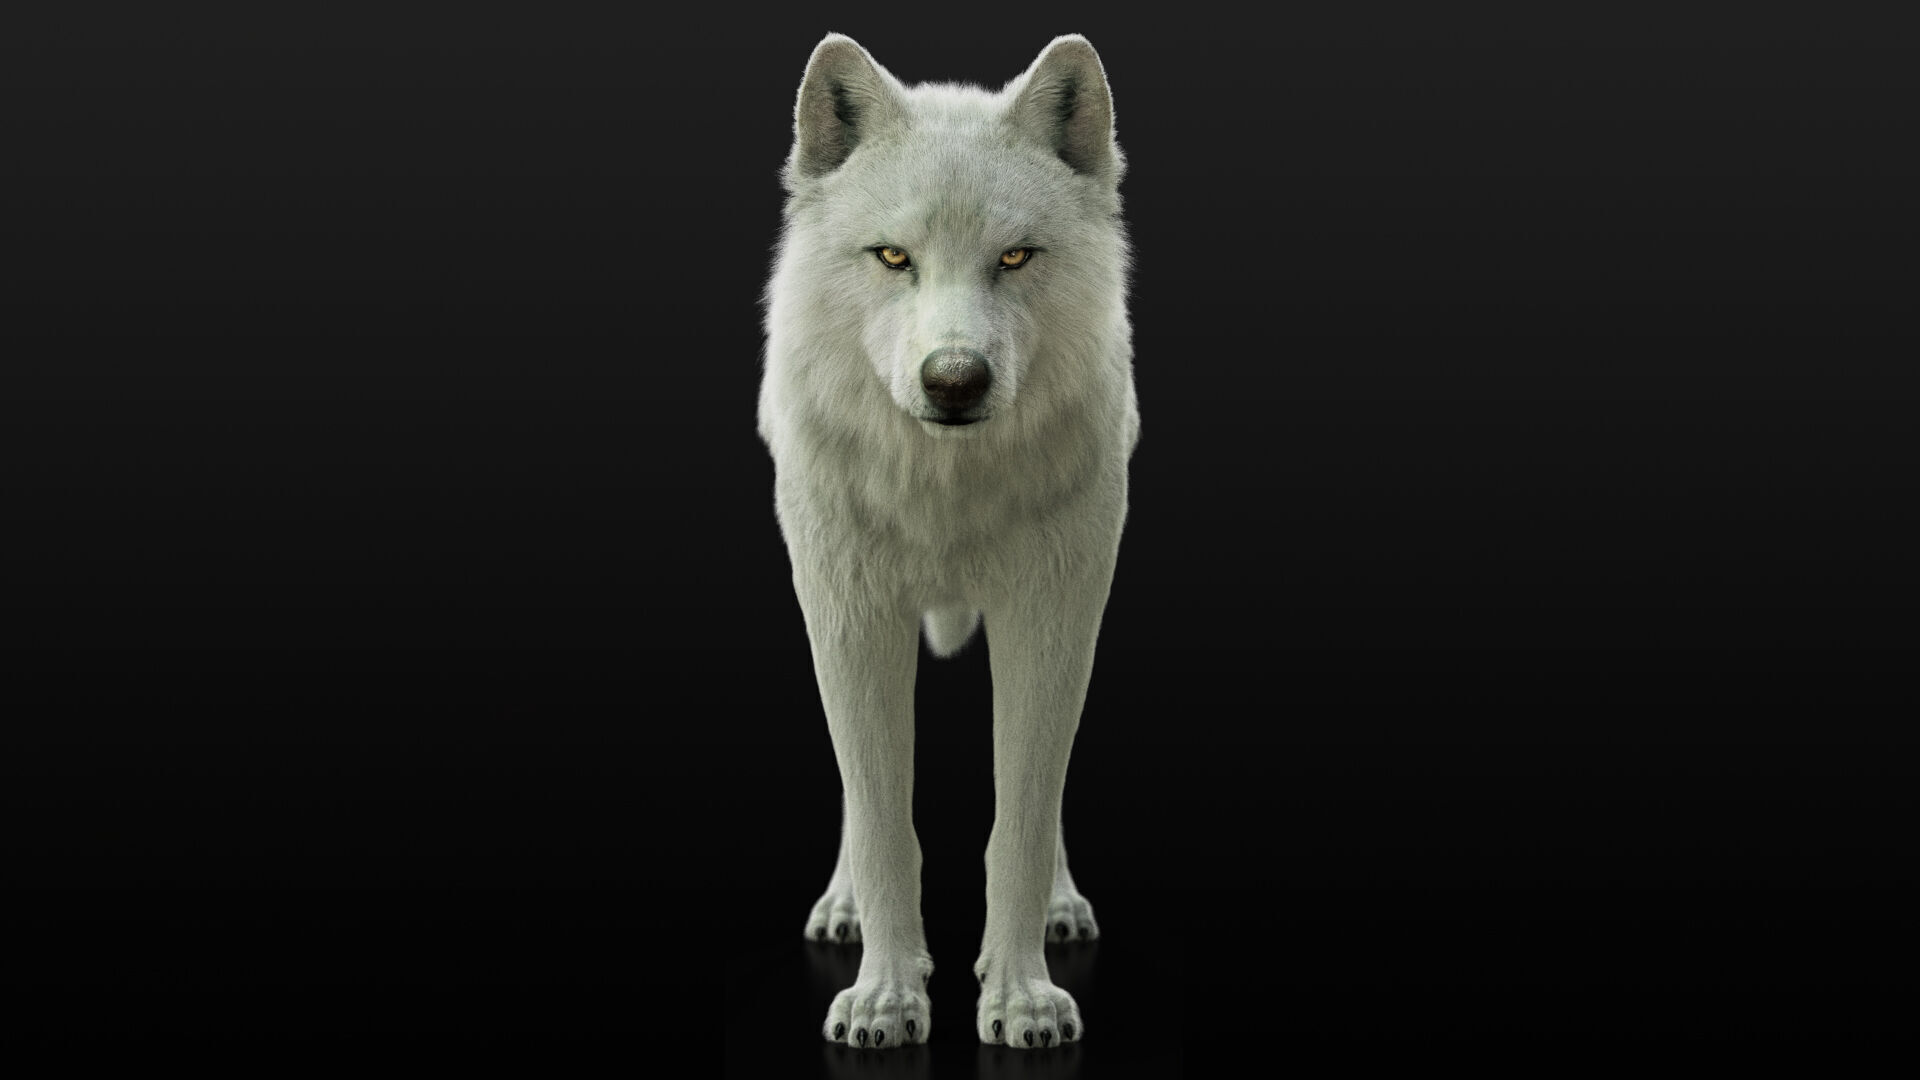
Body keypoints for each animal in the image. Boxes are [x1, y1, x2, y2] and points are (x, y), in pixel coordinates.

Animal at [757, 33, 1137, 1050]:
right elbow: (884, 821)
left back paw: (1062, 906)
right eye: (893, 256)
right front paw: (886, 998)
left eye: (1015, 255)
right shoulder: (851, 619)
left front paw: (1022, 998)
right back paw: (842, 908)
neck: (945, 491)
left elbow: (1022, 820)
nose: (956, 379)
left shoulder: (1051, 616)